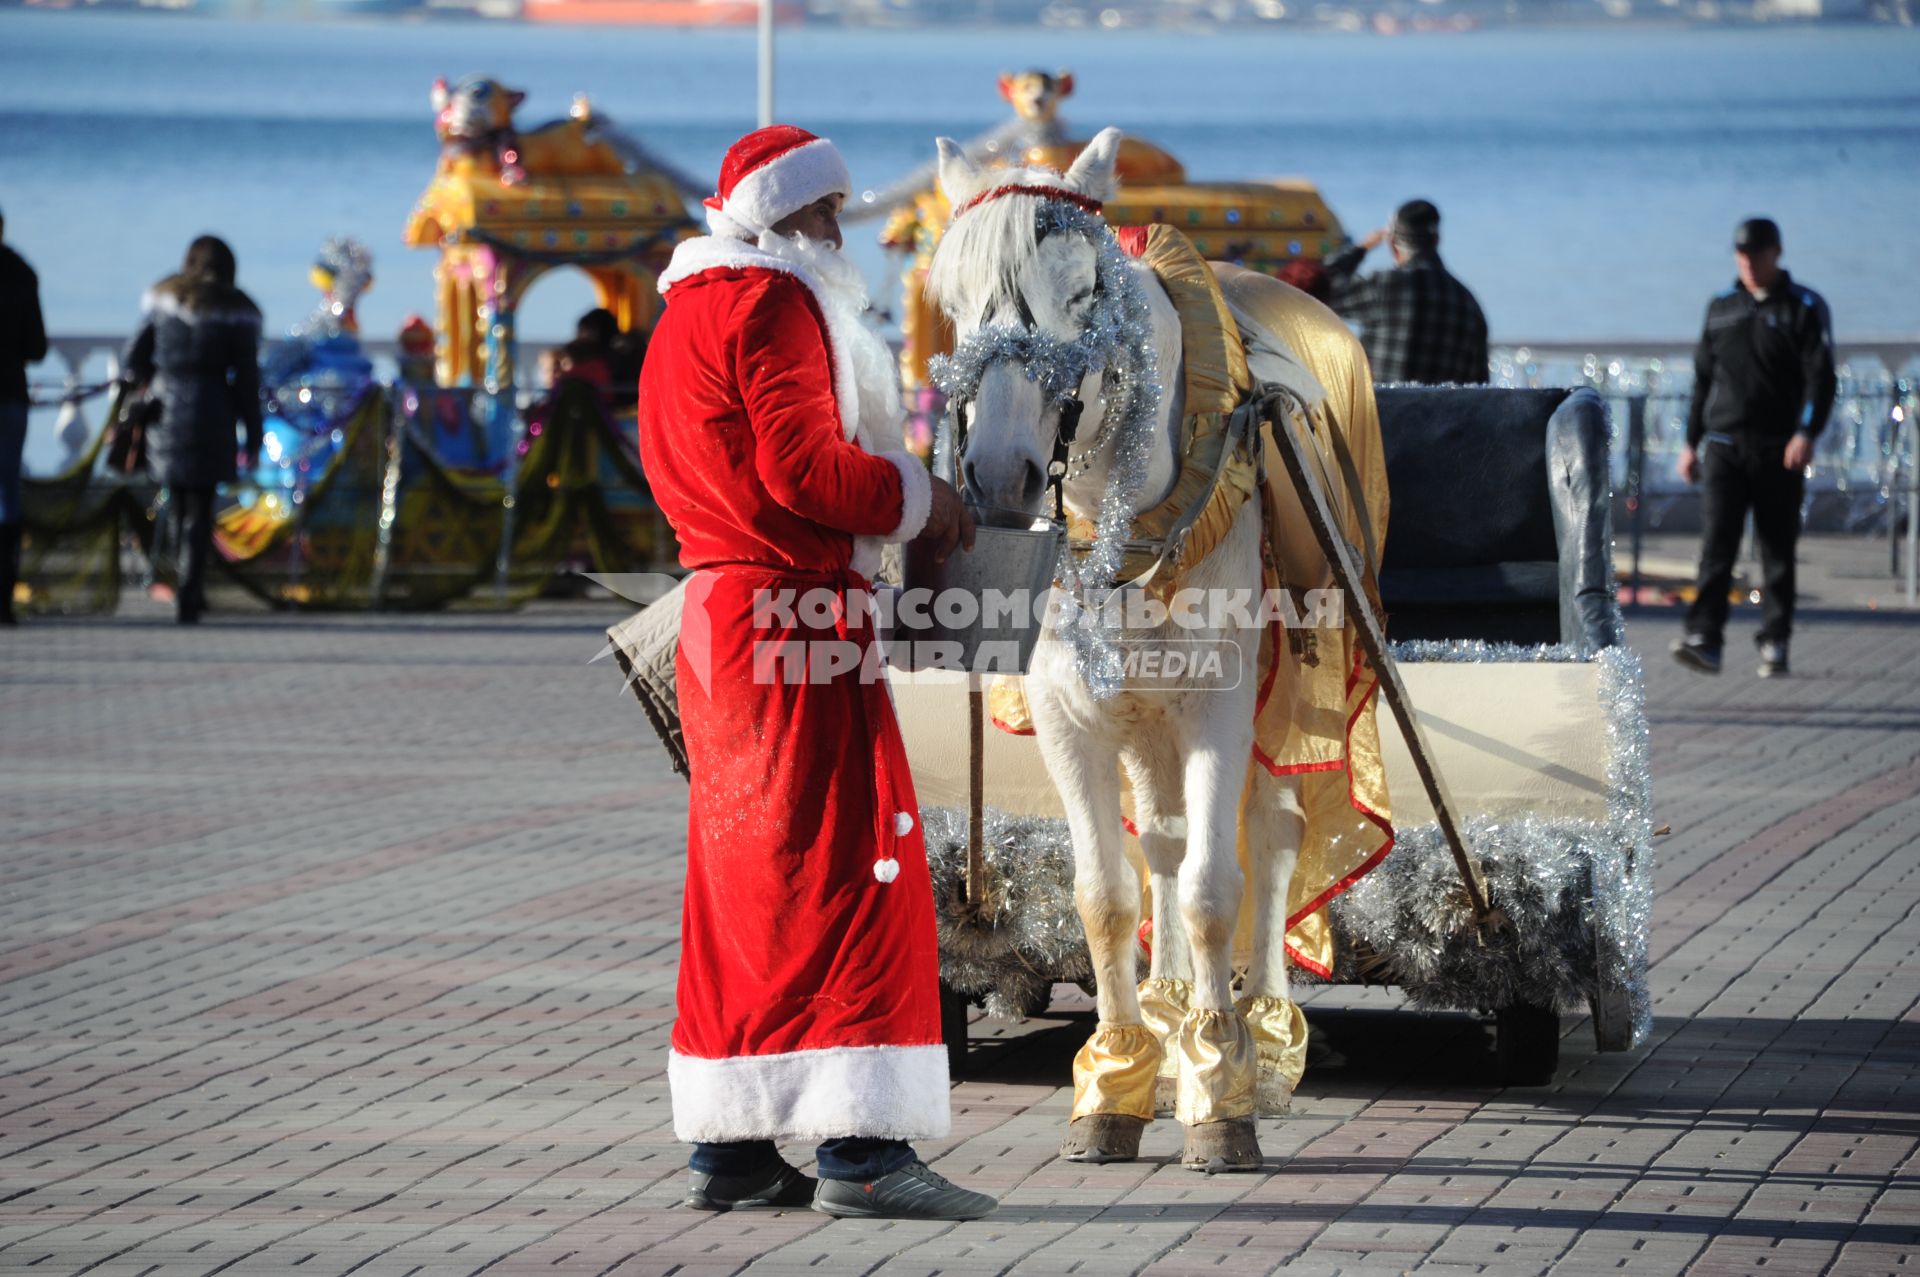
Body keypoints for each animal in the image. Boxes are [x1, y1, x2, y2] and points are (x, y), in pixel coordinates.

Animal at [925, 131, 1305, 1175]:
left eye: (1085, 288)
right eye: (953, 300)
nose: (999, 473)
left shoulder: (1220, 703)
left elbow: (1216, 890)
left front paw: (1223, 1093)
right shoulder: (1073, 716)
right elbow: (1105, 895)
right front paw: (1116, 1082)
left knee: (1271, 832)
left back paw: (1261, 1039)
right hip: (1142, 719)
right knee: (1163, 843)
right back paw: (1171, 1030)